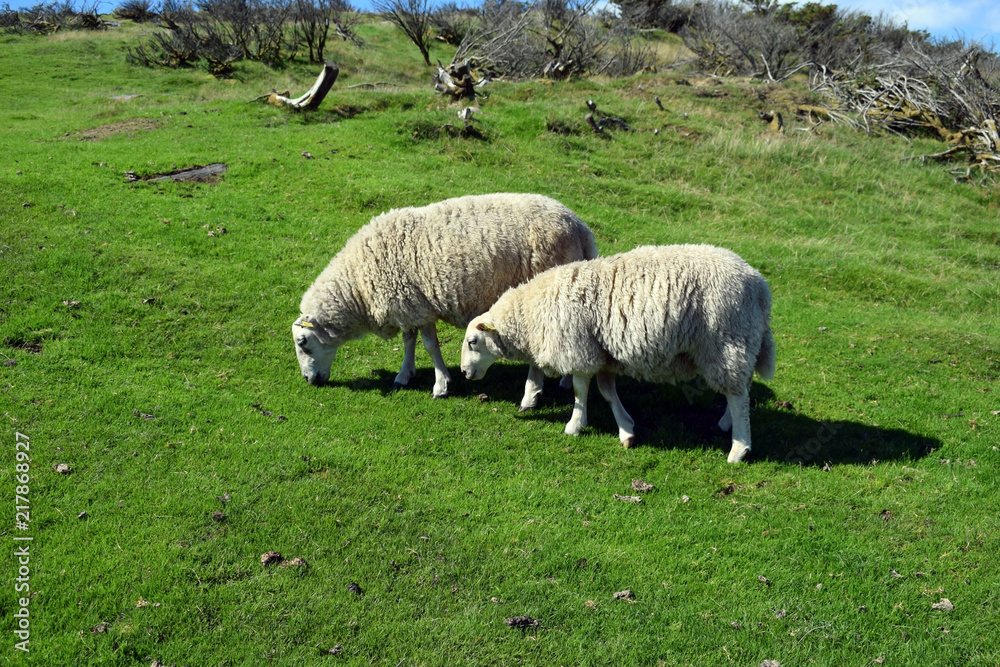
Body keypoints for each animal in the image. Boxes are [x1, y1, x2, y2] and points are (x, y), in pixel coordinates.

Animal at [293, 193, 598, 407]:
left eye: (303, 343)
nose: (309, 380)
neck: (358, 285)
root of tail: (580, 227)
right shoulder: (409, 305)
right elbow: (409, 341)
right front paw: (404, 375)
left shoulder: (422, 307)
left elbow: (430, 345)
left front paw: (440, 385)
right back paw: (565, 381)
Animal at [460, 244, 775, 463]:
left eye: (473, 341)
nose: (464, 372)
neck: (530, 314)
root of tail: (759, 286)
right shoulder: (604, 354)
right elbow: (608, 393)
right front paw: (627, 430)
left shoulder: (579, 349)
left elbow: (580, 390)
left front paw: (574, 425)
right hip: (739, 343)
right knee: (740, 389)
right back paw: (726, 424)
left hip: (726, 341)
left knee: (737, 395)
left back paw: (739, 448)